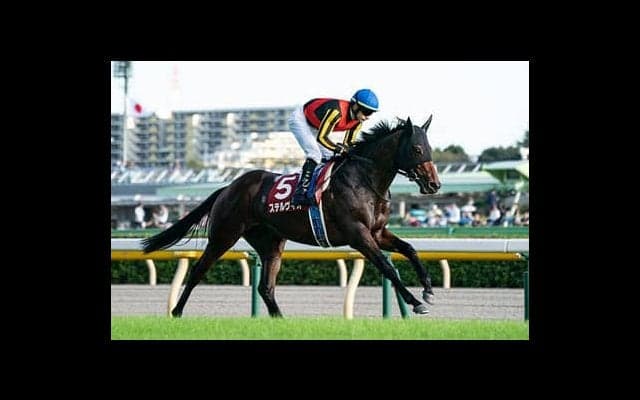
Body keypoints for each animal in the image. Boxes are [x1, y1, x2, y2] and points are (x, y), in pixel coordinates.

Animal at [142, 115, 441, 317]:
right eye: (416, 149)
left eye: (429, 149)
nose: (434, 184)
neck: (364, 180)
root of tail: (228, 188)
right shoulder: (358, 234)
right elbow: (387, 267)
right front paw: (416, 303)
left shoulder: (378, 232)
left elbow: (410, 249)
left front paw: (428, 289)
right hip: (224, 235)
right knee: (197, 271)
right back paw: (176, 312)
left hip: (270, 242)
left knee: (266, 287)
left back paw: (280, 320)